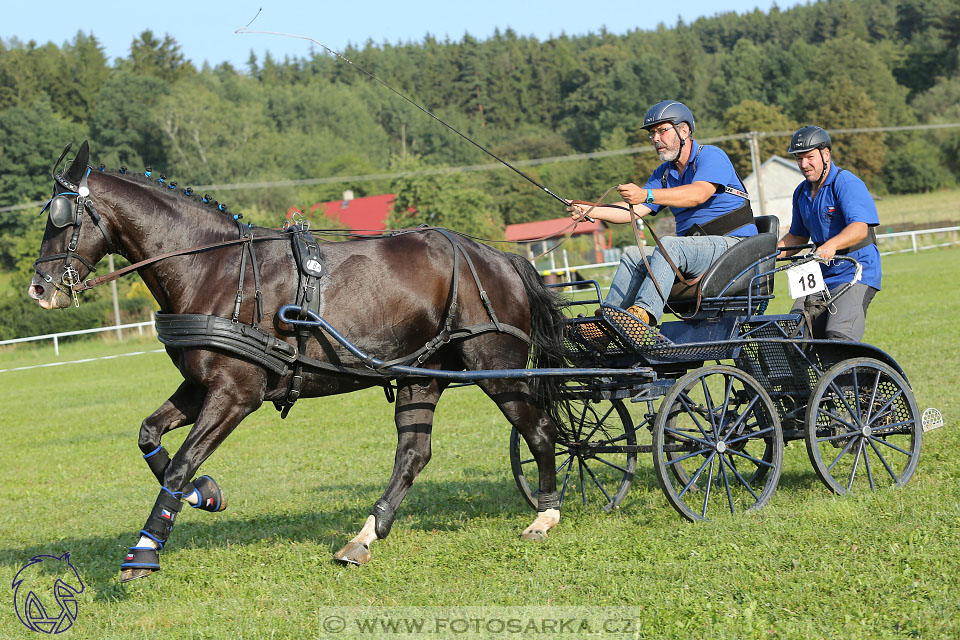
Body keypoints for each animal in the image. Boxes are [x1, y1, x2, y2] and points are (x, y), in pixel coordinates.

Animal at [30, 142, 568, 584]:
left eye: (61, 217)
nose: (39, 288)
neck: (212, 269)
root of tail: (499, 258)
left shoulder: (235, 395)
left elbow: (181, 465)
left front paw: (144, 551)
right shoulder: (201, 386)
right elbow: (151, 439)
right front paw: (207, 493)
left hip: (496, 368)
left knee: (540, 431)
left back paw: (544, 516)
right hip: (420, 375)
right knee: (414, 454)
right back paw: (363, 538)